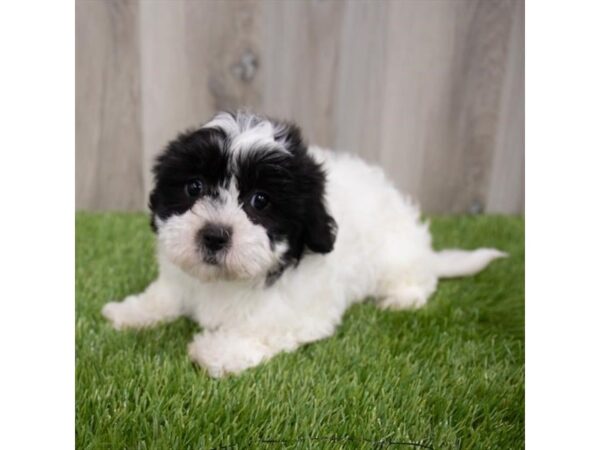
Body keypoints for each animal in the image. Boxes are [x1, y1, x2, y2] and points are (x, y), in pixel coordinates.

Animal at [103, 111, 506, 376]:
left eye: (260, 200)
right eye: (194, 187)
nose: (214, 235)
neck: (227, 281)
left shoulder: (301, 310)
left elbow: (262, 327)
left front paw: (216, 351)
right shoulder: (181, 279)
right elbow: (164, 295)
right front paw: (130, 312)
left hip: (397, 254)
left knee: (416, 279)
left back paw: (401, 297)